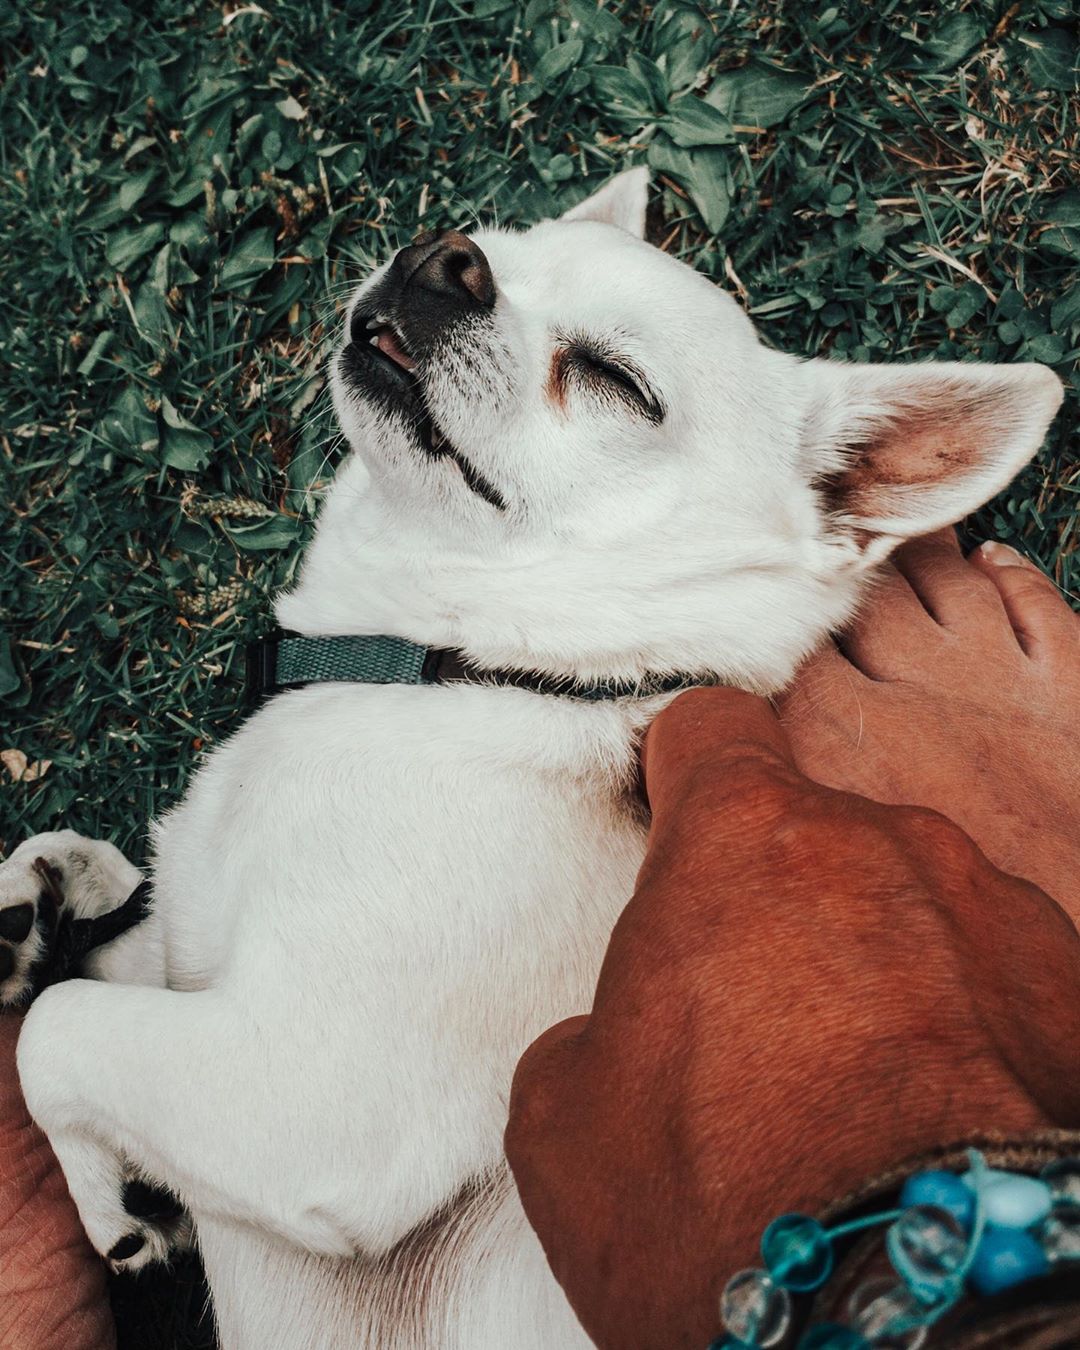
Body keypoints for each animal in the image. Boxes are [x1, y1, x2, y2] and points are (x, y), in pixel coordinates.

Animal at [0, 171, 1063, 1350]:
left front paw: (110, 1199)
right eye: (493, 242)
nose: (444, 254)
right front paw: (46, 905)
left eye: (616, 381)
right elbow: (105, 952)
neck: (469, 669)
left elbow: (55, 1034)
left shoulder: (311, 1095)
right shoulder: (196, 958)